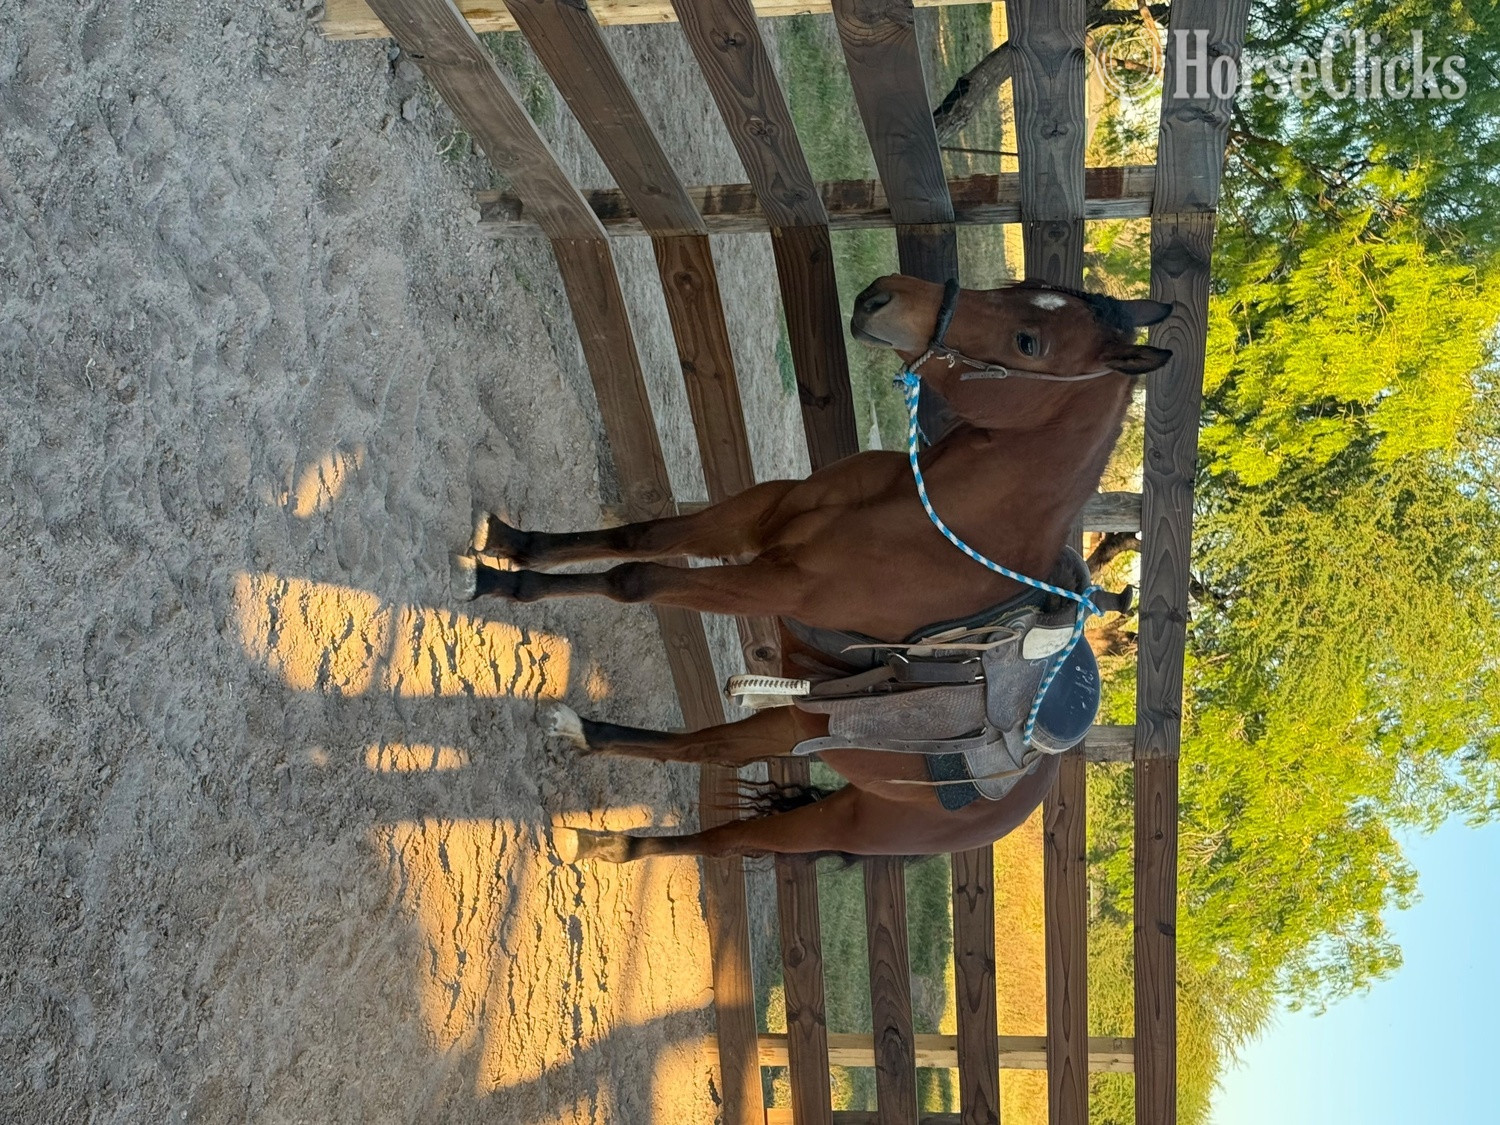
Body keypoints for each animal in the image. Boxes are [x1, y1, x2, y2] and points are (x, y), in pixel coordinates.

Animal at [458, 274, 1171, 863]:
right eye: (1020, 288)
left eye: (1029, 342)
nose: (882, 295)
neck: (930, 519)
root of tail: (1018, 795)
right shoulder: (753, 519)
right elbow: (638, 536)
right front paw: (513, 549)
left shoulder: (772, 582)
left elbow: (634, 580)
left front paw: (503, 581)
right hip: (800, 721)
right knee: (705, 748)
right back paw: (588, 752)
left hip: (836, 819)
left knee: (728, 841)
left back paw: (619, 843)